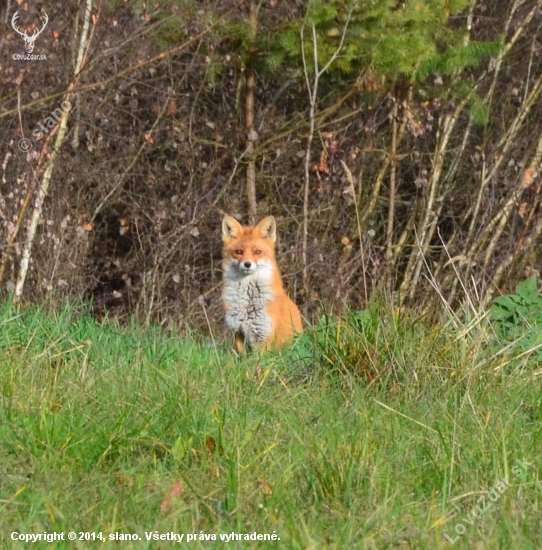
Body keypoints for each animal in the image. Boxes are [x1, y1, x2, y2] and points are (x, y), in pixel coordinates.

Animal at [223, 213, 304, 352]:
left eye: (257, 252)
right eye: (239, 252)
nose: (247, 264)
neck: (247, 301)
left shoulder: (264, 335)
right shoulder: (238, 331)